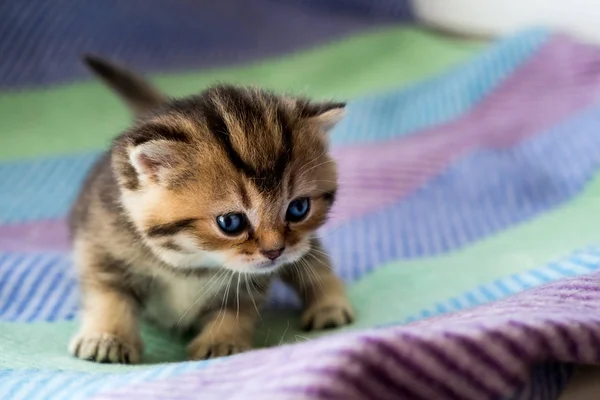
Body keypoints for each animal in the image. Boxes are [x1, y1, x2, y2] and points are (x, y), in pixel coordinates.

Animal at [68, 54, 354, 364]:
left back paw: (328, 305)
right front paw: (108, 338)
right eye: (230, 222)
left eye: (298, 209)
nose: (274, 251)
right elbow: (108, 295)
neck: (192, 263)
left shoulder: (253, 277)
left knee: (312, 261)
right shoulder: (101, 246)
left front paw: (221, 340)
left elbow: (237, 307)